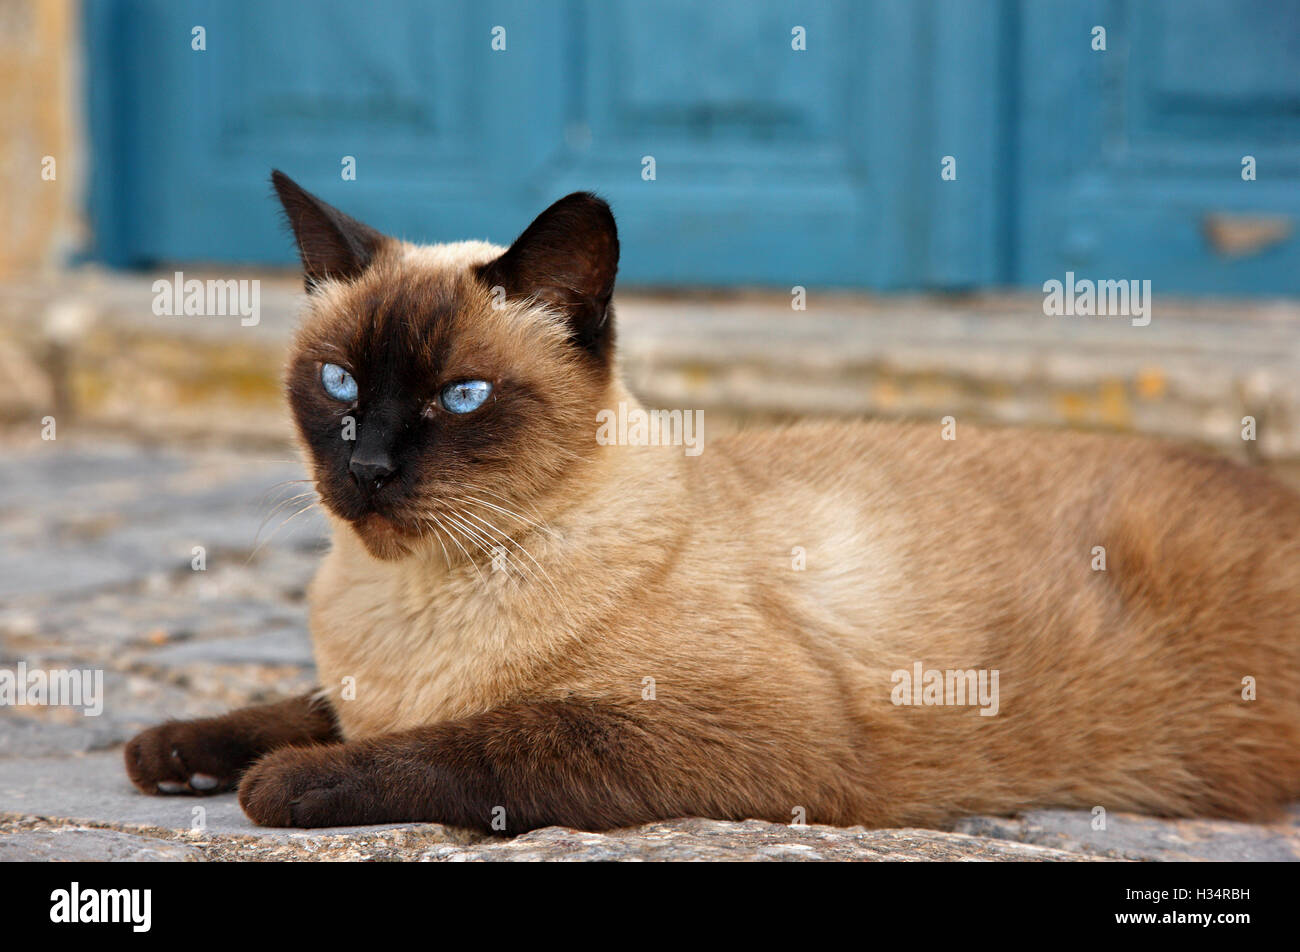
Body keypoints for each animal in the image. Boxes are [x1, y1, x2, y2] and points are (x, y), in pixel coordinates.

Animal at [124, 172, 1300, 832]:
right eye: (337, 385)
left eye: (460, 397)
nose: (365, 468)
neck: (406, 595)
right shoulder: (365, 686)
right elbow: (306, 703)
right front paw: (170, 752)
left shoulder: (735, 734)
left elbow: (480, 739)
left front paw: (278, 783)